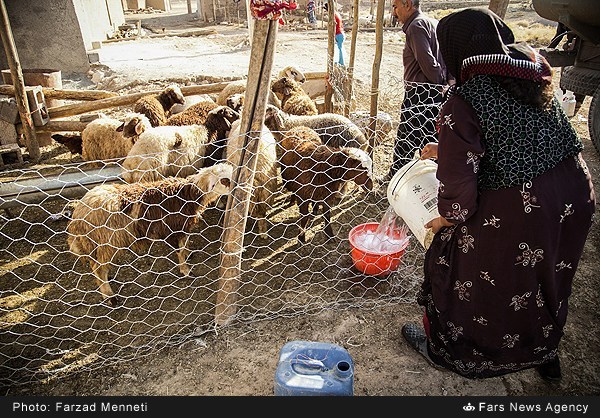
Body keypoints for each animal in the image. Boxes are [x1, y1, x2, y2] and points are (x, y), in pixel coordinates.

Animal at [67, 162, 233, 306]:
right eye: (224, 180)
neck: (187, 195)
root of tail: (78, 214)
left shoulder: (182, 226)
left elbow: (184, 243)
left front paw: (188, 255)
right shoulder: (173, 228)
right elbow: (179, 250)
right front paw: (185, 270)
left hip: (96, 242)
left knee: (96, 264)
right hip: (109, 240)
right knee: (98, 267)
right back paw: (110, 297)